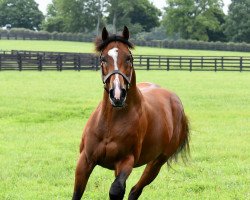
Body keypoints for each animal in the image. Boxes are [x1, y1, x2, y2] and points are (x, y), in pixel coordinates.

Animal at [72, 27, 189, 200]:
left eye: (129, 58)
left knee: (135, 190)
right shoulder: (85, 160)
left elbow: (116, 190)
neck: (111, 122)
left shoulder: (126, 161)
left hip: (157, 162)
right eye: (103, 58)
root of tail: (175, 100)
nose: (117, 94)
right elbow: (78, 192)